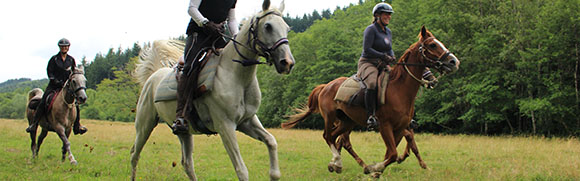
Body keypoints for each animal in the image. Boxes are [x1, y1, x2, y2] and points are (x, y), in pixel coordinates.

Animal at [131, 0, 294, 180]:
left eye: (287, 28)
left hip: (184, 132)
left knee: (187, 163)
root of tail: (154, 75)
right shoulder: (225, 126)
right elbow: (241, 170)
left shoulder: (247, 121)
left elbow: (271, 143)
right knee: (135, 155)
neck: (237, 76)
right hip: (144, 124)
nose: (287, 63)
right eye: (268, 26)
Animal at [284, 26, 460, 177]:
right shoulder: (385, 126)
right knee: (328, 136)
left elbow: (393, 152)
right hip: (330, 117)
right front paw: (375, 168)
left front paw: (378, 170)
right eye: (432, 45)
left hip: (347, 121)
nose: (454, 62)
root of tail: (325, 86)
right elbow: (394, 152)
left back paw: (338, 164)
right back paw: (342, 163)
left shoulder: (399, 128)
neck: (399, 90)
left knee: (336, 139)